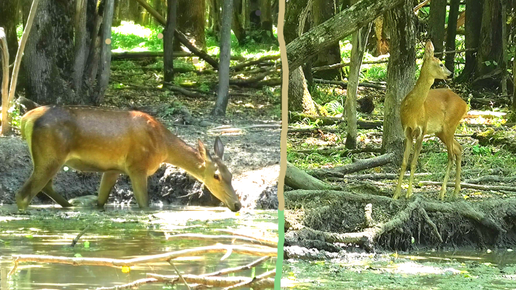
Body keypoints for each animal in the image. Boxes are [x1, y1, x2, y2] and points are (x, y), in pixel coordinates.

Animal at [14, 105, 242, 212]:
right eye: (216, 176)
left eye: (231, 174)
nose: (237, 204)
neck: (163, 146)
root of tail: (25, 119)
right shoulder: (137, 166)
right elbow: (144, 204)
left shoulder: (113, 169)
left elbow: (101, 201)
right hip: (50, 154)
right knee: (24, 194)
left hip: (48, 157)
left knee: (45, 186)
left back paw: (71, 205)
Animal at [396, 39, 468, 201]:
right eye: (440, 64)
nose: (450, 74)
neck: (414, 109)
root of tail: (465, 104)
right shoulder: (407, 131)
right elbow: (404, 162)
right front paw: (395, 194)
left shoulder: (422, 130)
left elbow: (413, 163)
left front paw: (409, 193)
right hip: (441, 131)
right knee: (459, 149)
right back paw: (456, 191)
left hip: (450, 125)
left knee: (450, 156)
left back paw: (442, 193)